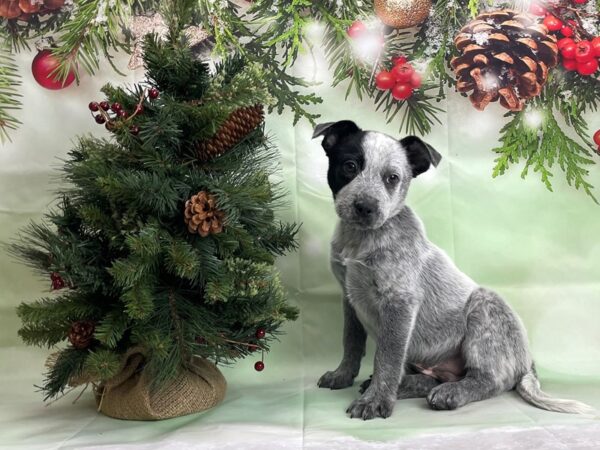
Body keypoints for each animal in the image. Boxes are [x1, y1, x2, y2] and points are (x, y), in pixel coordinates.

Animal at [314, 120, 592, 422]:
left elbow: (386, 359)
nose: (365, 207)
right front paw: (343, 375)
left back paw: (451, 393)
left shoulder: (399, 303)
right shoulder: (350, 298)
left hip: (484, 310)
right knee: (430, 378)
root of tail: (528, 362)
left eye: (392, 178)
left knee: (491, 380)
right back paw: (408, 385)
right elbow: (351, 342)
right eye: (350, 166)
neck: (361, 240)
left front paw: (375, 401)